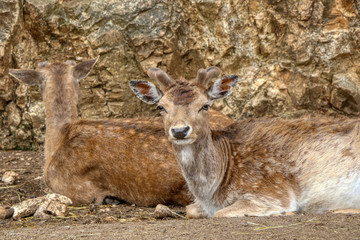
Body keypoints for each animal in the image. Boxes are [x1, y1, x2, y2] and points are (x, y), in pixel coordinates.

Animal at [131, 66, 360, 218]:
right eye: (161, 107)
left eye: (205, 105)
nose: (179, 130)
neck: (211, 192)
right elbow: (190, 210)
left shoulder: (272, 192)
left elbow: (221, 214)